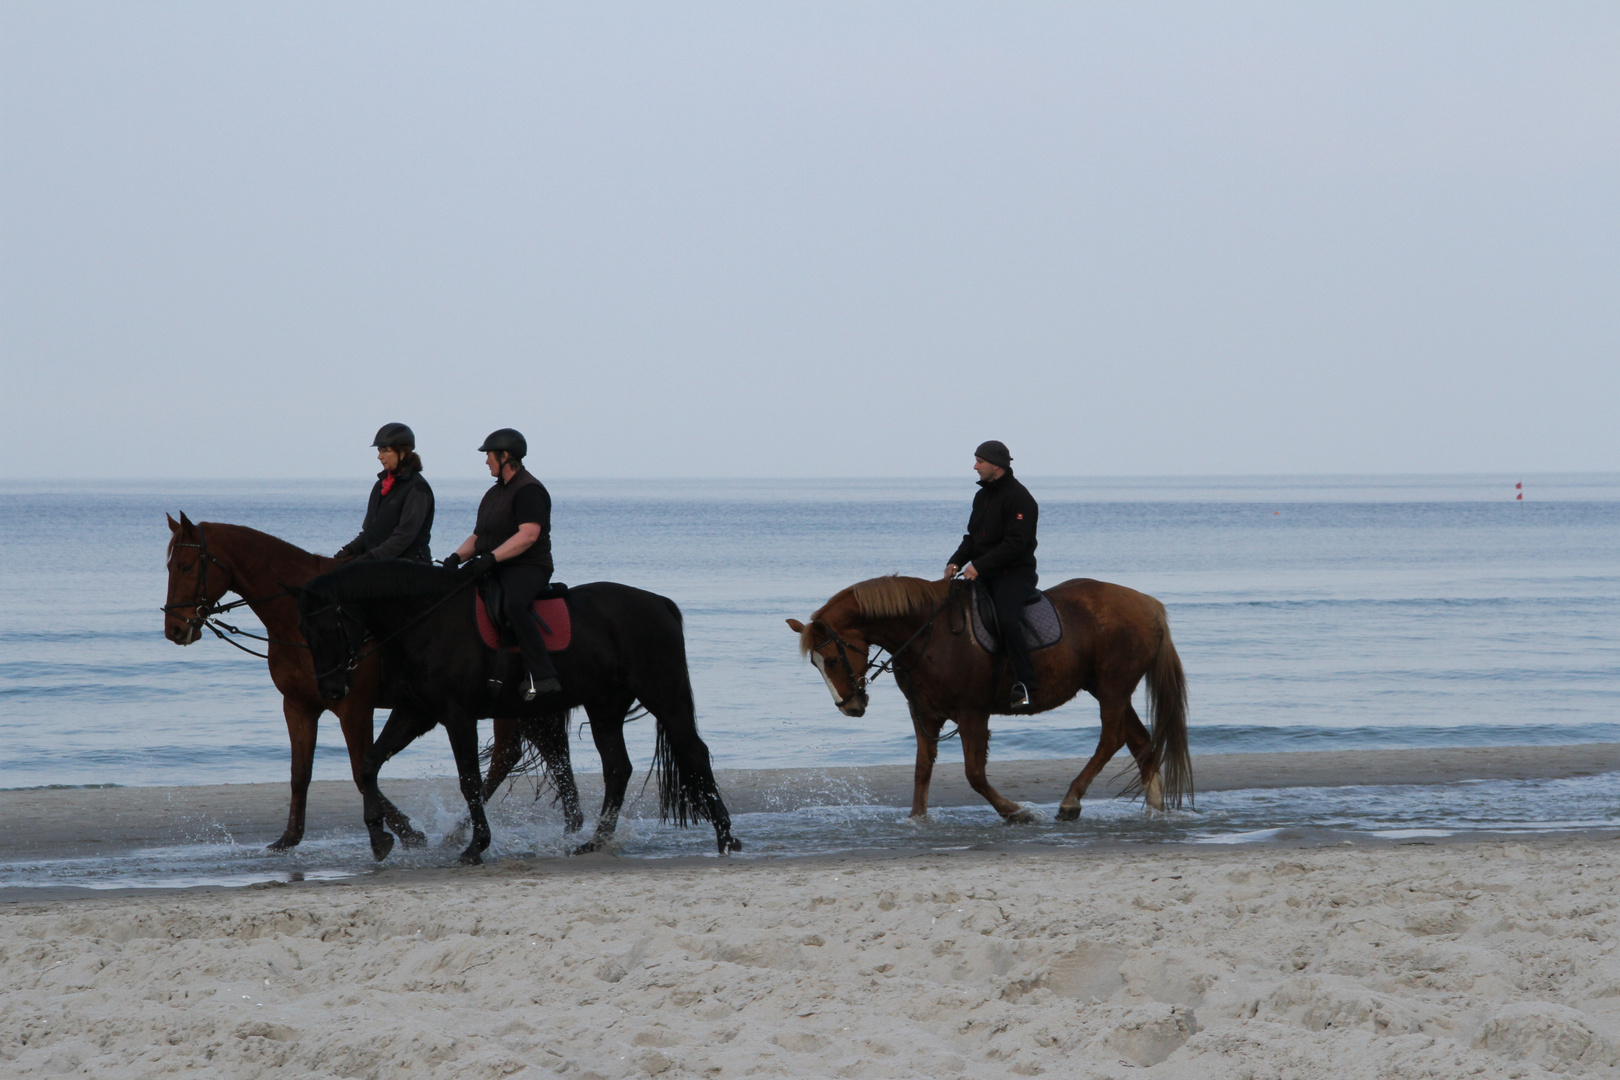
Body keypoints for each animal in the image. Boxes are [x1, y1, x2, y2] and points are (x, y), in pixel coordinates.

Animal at [162, 514, 583, 854]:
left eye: (185, 566)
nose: (174, 629)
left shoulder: (353, 706)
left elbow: (358, 768)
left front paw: (404, 833)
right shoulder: (299, 705)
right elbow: (301, 773)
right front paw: (289, 839)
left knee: (508, 758)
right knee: (535, 754)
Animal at [293, 563, 741, 867]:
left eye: (328, 630)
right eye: (305, 635)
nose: (331, 690)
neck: (429, 619)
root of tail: (659, 603)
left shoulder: (458, 717)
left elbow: (470, 781)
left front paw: (475, 846)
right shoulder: (414, 713)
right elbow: (369, 763)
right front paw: (379, 838)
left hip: (664, 696)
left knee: (694, 752)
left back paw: (725, 835)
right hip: (605, 708)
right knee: (618, 768)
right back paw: (595, 842)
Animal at [787, 579, 1192, 822]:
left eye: (833, 660)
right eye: (817, 664)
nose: (850, 707)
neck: (927, 634)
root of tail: (1148, 605)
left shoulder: (972, 714)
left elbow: (974, 773)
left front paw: (1014, 811)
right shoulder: (924, 714)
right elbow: (922, 770)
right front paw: (917, 820)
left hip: (1112, 688)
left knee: (1111, 739)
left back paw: (1071, 800)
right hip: (1110, 689)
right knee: (1139, 741)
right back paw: (1155, 808)